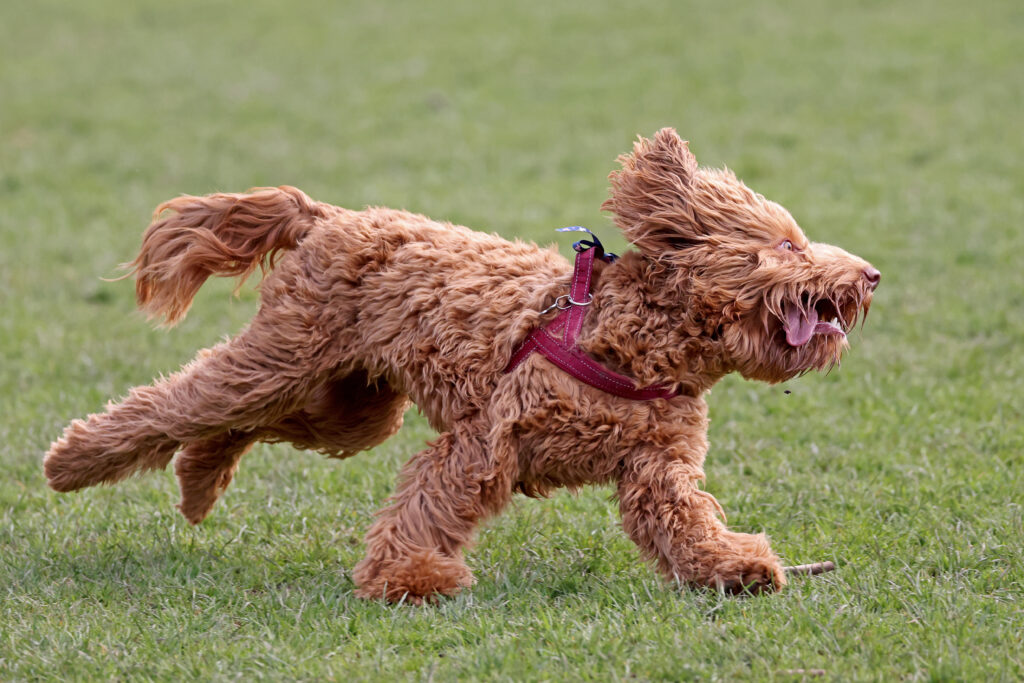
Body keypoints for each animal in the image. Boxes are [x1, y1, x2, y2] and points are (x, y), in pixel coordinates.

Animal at [46, 131, 880, 602]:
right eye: (788, 245)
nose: (870, 274)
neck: (627, 336)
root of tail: (329, 217)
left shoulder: (657, 467)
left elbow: (684, 520)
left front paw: (733, 566)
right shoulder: (486, 438)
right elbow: (430, 501)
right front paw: (408, 580)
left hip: (348, 403)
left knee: (242, 424)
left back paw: (197, 480)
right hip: (282, 360)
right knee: (180, 402)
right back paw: (71, 461)